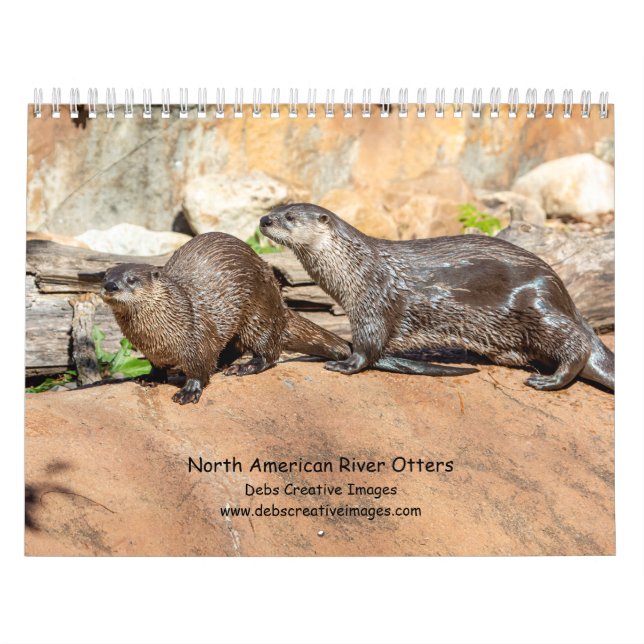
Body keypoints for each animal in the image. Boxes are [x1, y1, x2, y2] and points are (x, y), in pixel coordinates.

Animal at [100, 232, 351, 404]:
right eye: (105, 276)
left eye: (131, 279)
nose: (110, 286)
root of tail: (281, 303)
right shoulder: (152, 352)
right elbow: (157, 367)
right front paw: (151, 377)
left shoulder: (198, 339)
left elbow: (200, 369)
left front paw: (189, 390)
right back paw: (223, 365)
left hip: (259, 313)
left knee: (269, 353)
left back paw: (243, 367)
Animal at [259, 203, 614, 392]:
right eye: (275, 210)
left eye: (290, 217)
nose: (264, 220)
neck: (357, 266)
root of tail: (560, 288)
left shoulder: (373, 301)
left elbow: (369, 347)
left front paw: (344, 365)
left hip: (535, 305)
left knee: (577, 342)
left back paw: (548, 380)